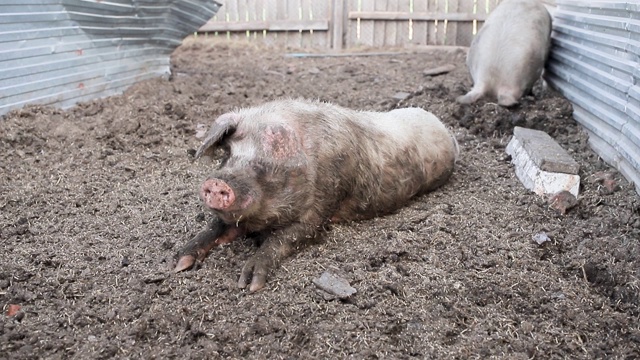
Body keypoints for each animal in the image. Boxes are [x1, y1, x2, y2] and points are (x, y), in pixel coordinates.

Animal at [172, 99, 458, 292]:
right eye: (228, 155)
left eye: (264, 165)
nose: (217, 182)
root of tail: (445, 128)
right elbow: (214, 227)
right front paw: (178, 263)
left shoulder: (323, 206)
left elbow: (283, 238)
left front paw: (248, 283)